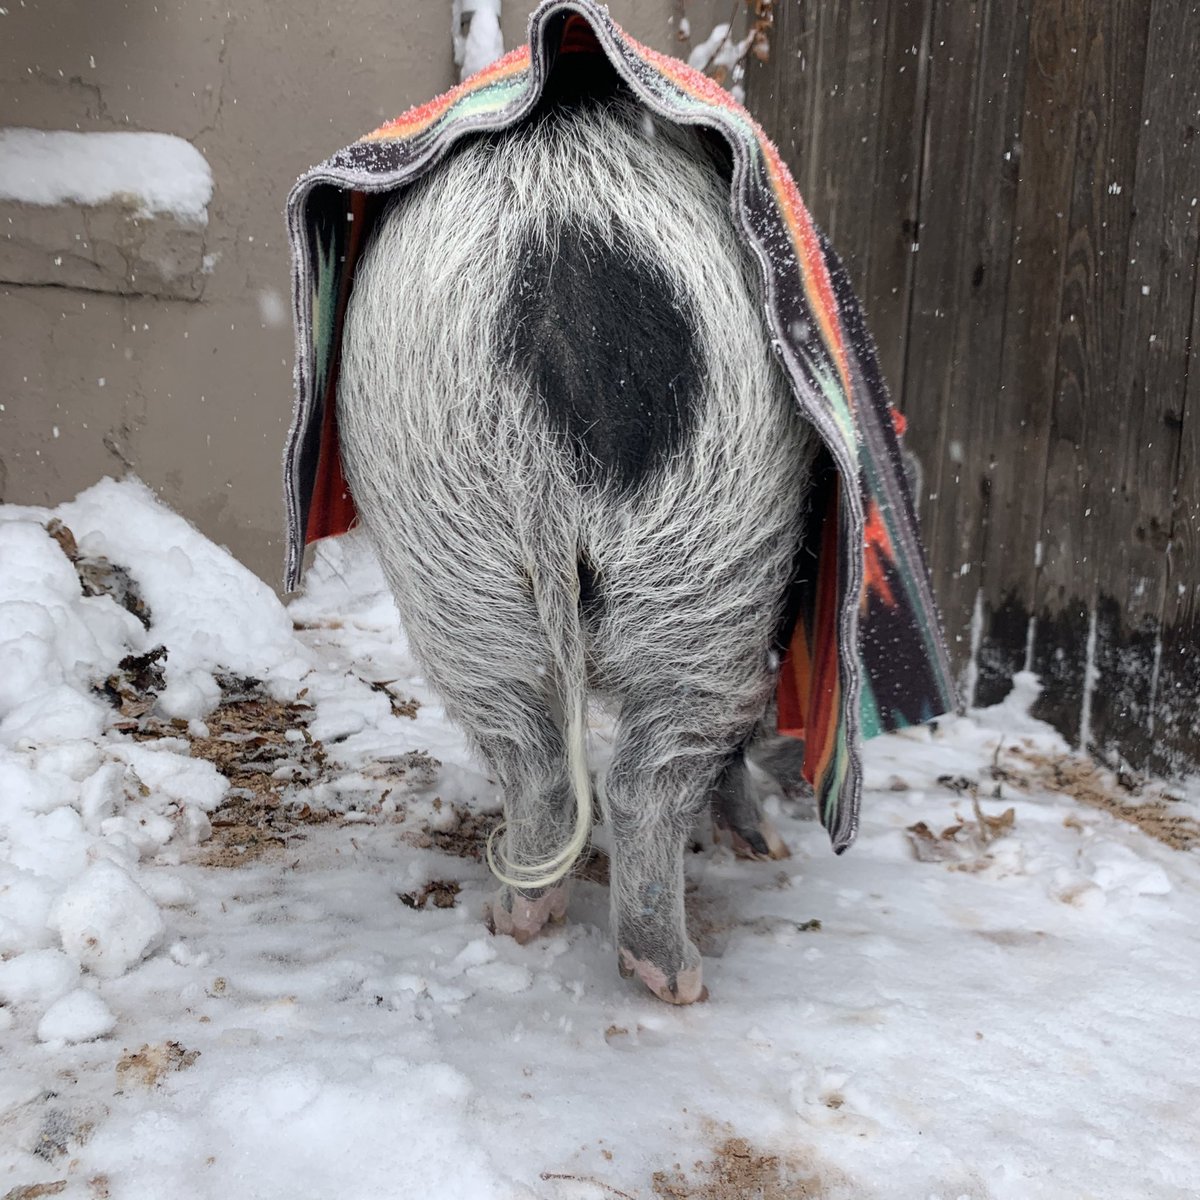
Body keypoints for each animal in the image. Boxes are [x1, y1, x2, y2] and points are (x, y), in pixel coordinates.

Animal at [338, 82, 816, 1003]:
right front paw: (762, 845)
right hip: (714, 557)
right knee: (647, 778)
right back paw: (676, 975)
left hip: (448, 535)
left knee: (538, 764)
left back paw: (520, 920)